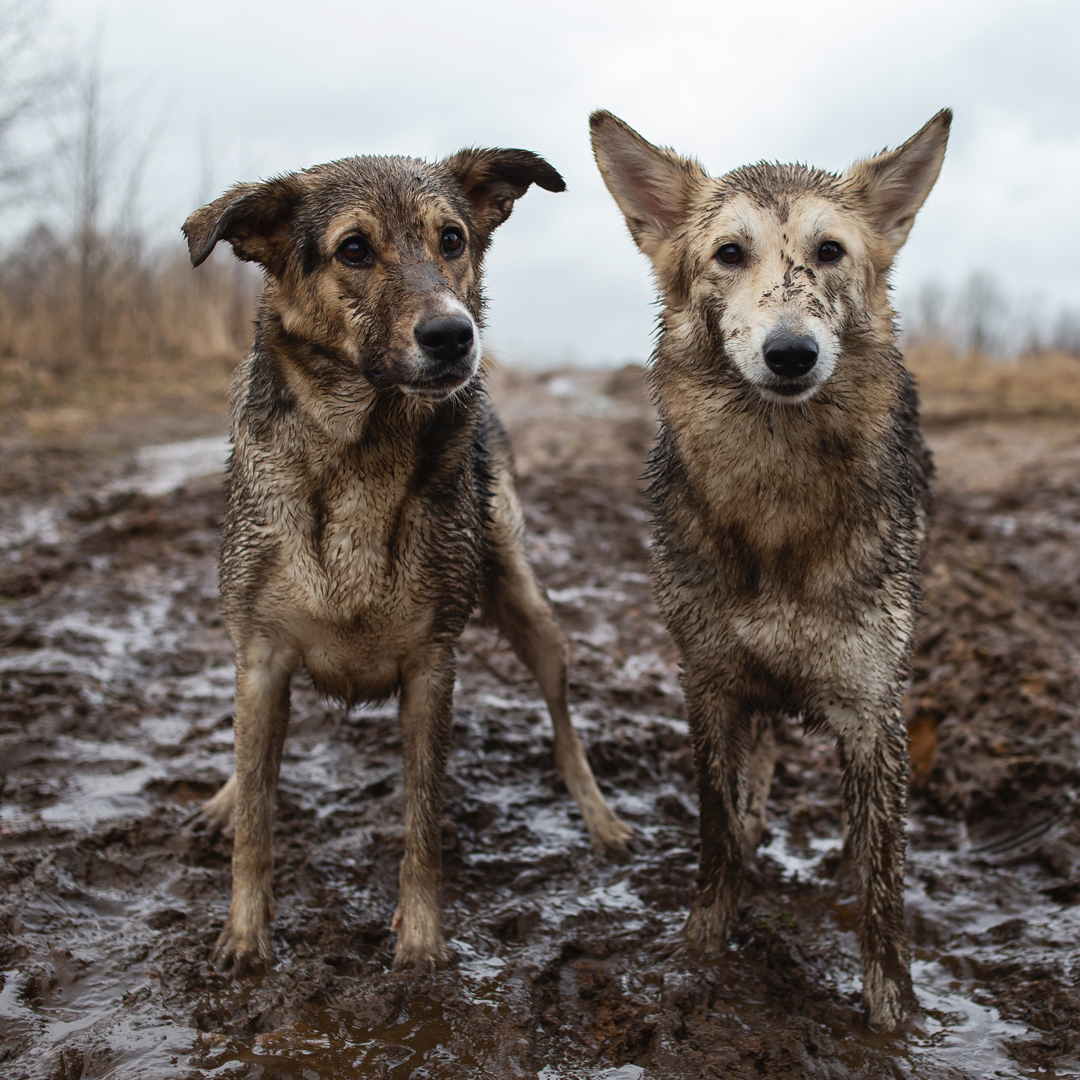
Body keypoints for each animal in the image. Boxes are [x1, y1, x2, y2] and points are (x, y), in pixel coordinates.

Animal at [179, 150, 630, 972]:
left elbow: (422, 826)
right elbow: (258, 818)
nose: (454, 336)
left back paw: (600, 815)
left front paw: (420, 940)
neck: (362, 447)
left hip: (526, 603)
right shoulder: (261, 657)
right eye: (354, 249)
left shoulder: (430, 668)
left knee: (563, 720)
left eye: (452, 239)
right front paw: (244, 934)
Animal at [587, 109, 950, 1028]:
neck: (777, 498)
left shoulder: (871, 710)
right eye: (729, 253)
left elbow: (884, 888)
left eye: (829, 251)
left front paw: (894, 1018)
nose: (792, 353)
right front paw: (699, 952)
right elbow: (717, 837)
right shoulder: (712, 689)